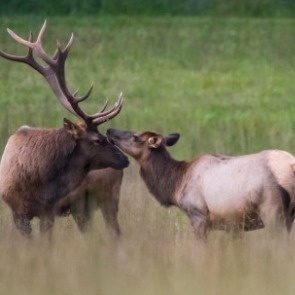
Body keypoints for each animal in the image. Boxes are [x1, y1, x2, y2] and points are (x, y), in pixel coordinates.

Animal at [0, 20, 130, 238]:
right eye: (97, 140)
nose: (125, 159)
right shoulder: (17, 211)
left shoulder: (48, 210)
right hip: (82, 209)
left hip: (108, 198)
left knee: (115, 234)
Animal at [107, 129, 295, 240]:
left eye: (135, 136)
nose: (110, 130)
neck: (176, 184)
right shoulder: (234, 225)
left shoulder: (198, 215)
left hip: (272, 211)